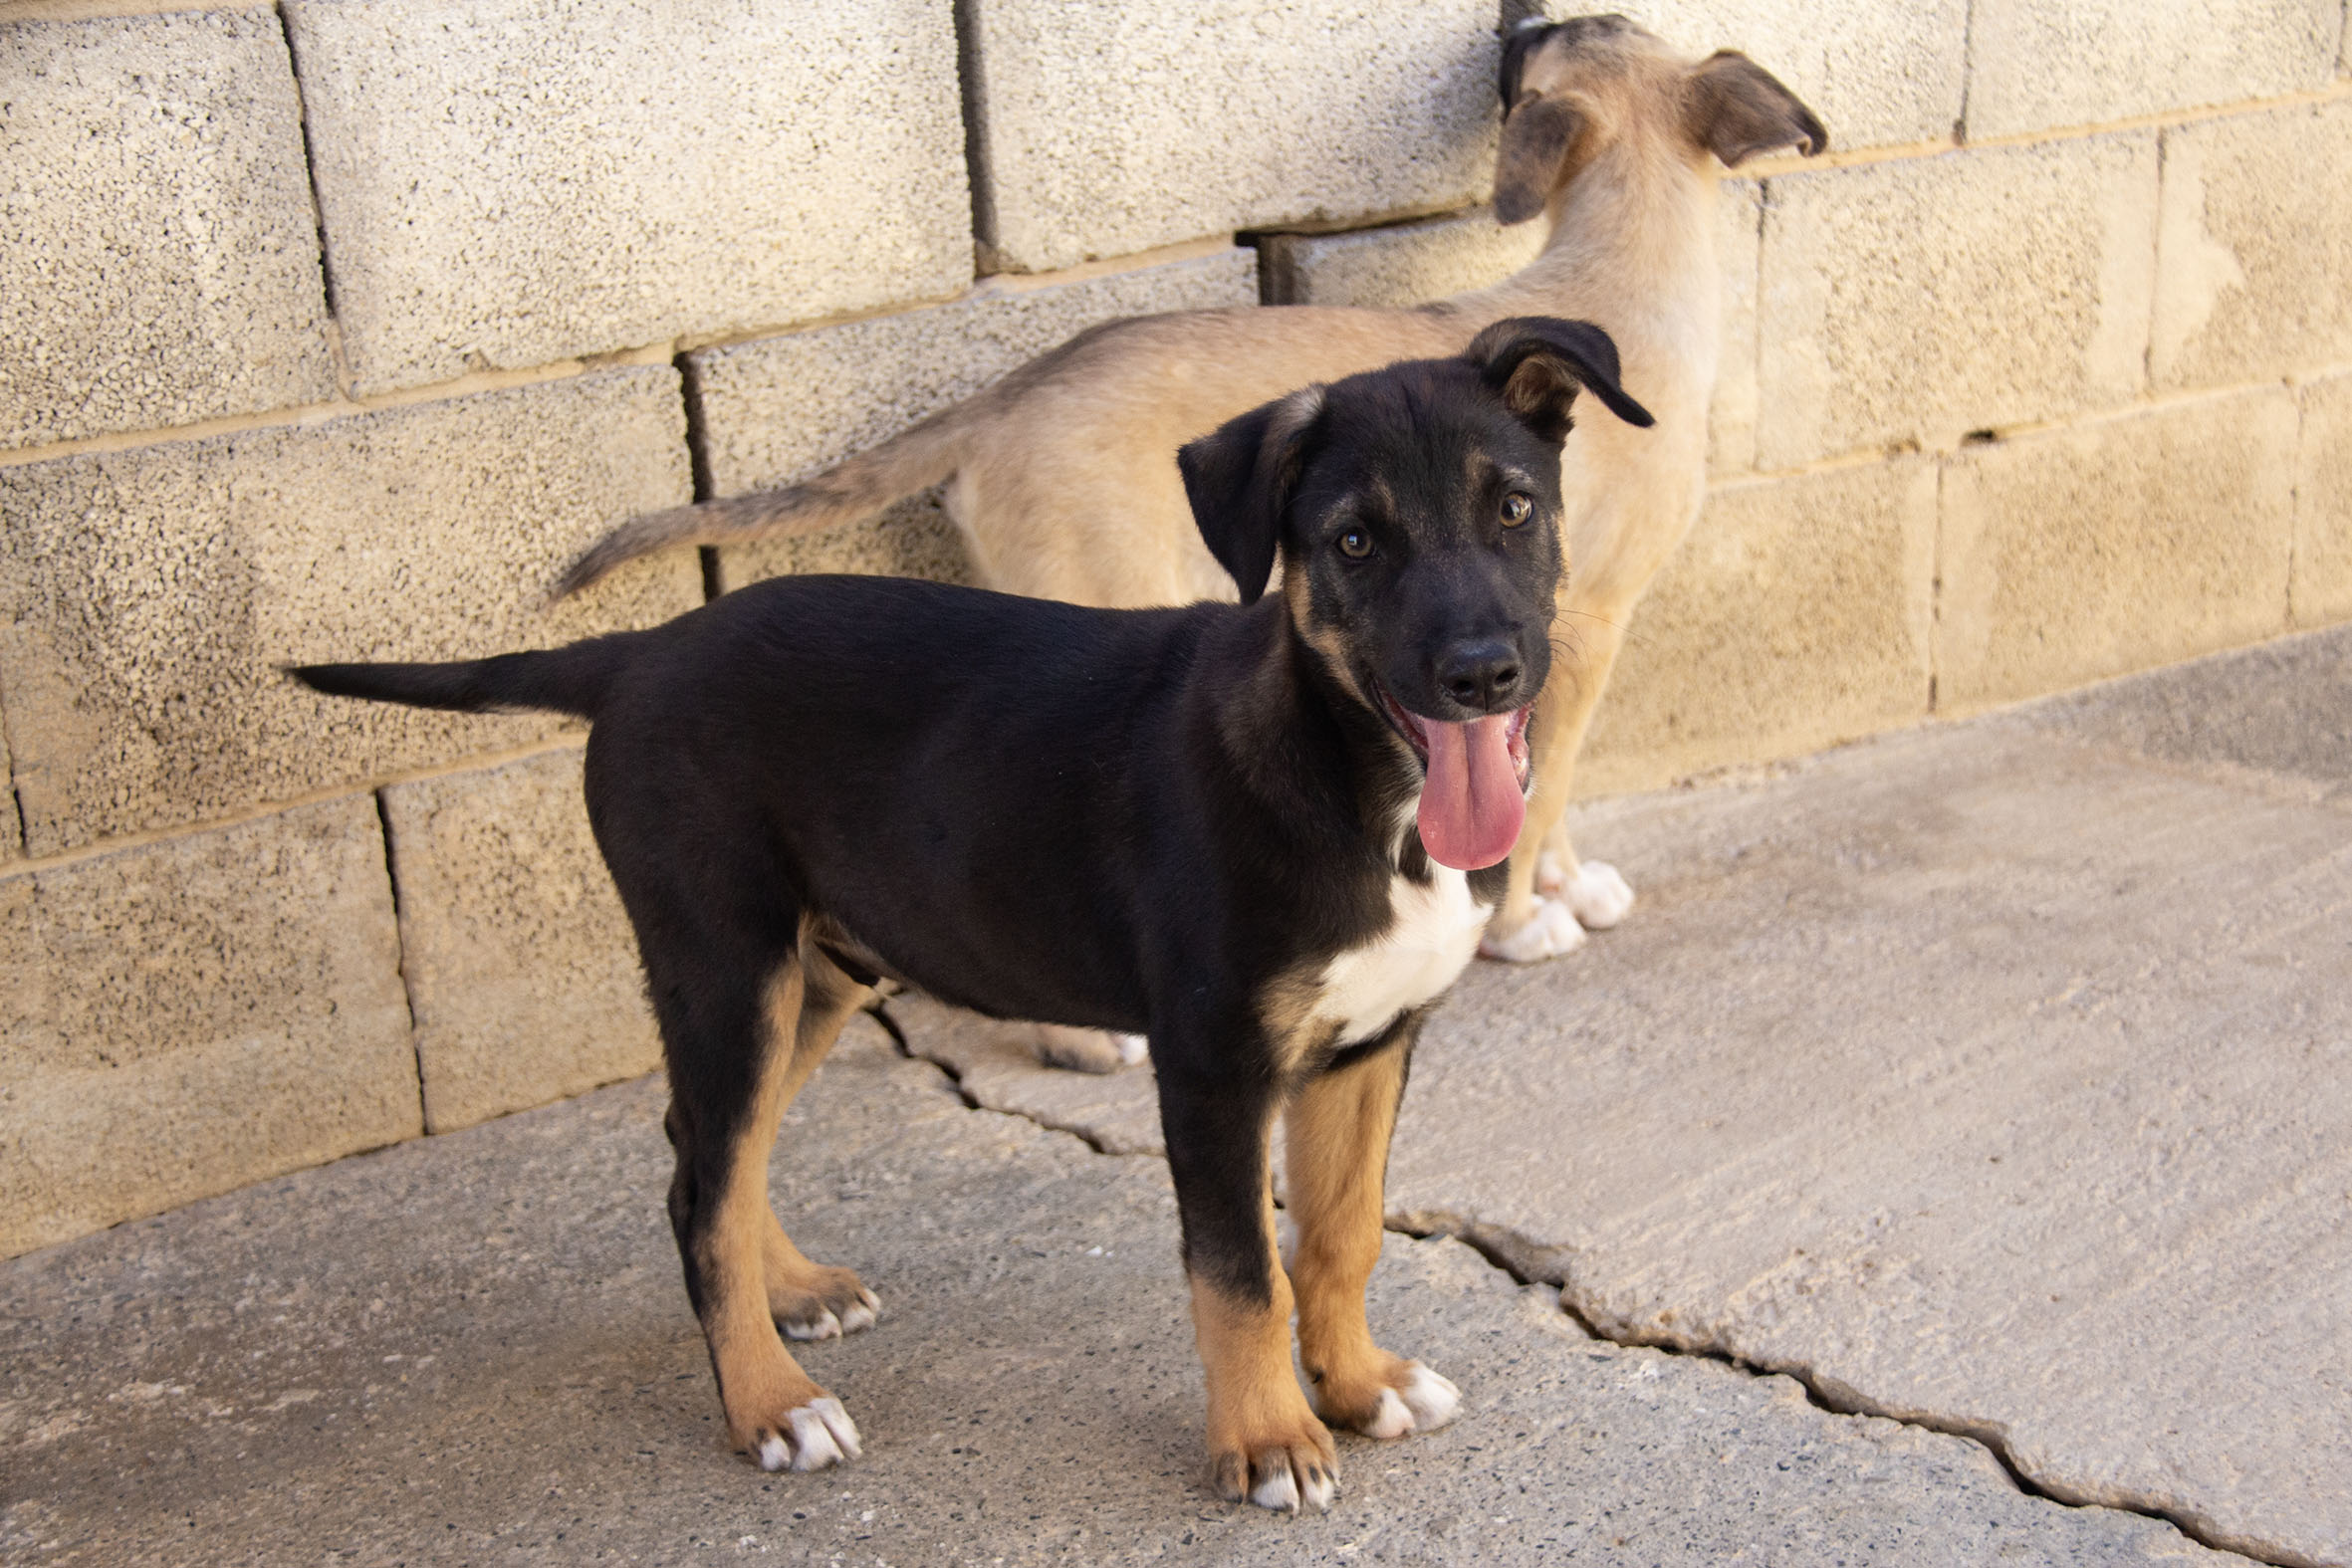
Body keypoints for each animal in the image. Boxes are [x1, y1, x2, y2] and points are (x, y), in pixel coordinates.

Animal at [292, 320, 1654, 1511]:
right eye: (1356, 541)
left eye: (1513, 508)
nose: (1482, 674)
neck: (1355, 777)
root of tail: (637, 652)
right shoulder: (1211, 1065)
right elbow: (1239, 1274)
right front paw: (1270, 1442)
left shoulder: (1370, 1042)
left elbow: (1339, 1234)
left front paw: (1360, 1387)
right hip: (723, 963)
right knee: (701, 1189)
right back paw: (770, 1405)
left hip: (819, 973)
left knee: (708, 1155)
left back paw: (794, 1295)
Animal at [555, 17, 1824, 1069]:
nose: (1508, 22)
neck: (1620, 268)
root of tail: (1001, 398)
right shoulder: (1581, 627)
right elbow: (1542, 775)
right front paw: (1520, 921)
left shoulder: (1551, 641)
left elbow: (1545, 787)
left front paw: (1565, 880)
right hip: (1093, 613)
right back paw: (1075, 1042)